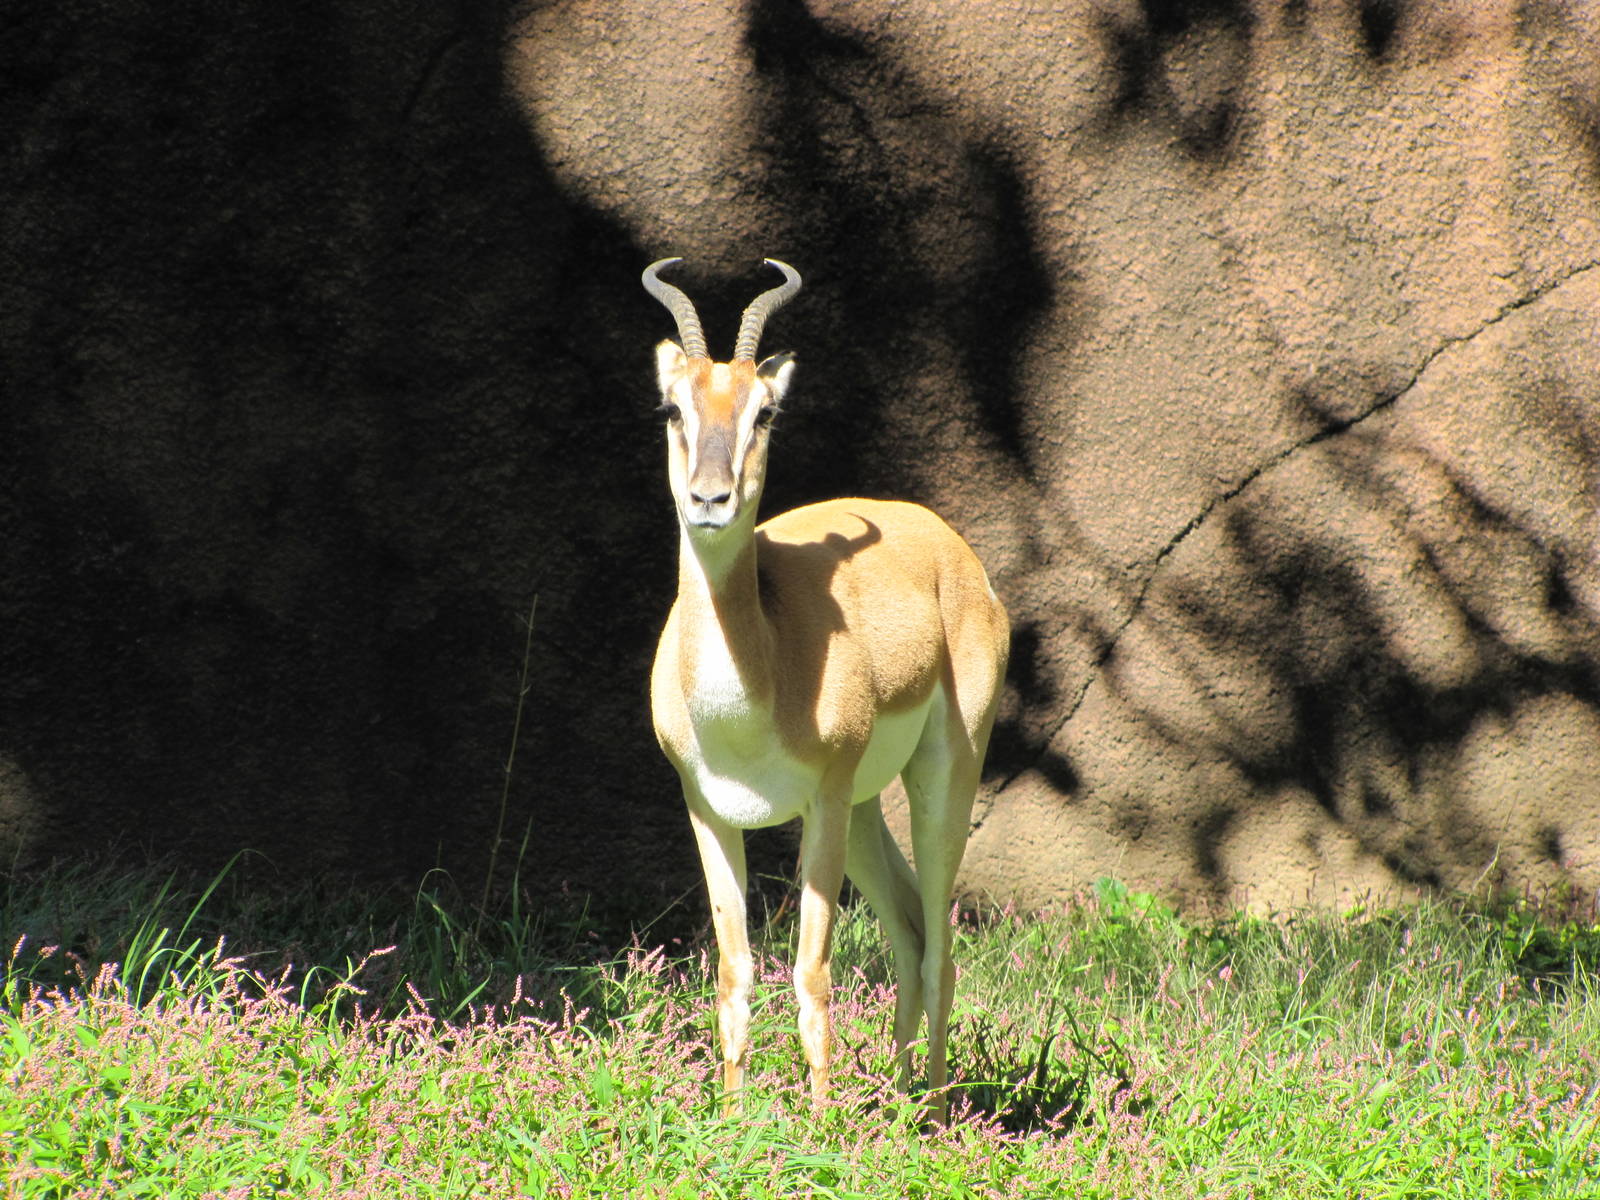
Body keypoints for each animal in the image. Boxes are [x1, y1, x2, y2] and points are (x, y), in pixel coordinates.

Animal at [643, 257, 1010, 1119]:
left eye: (764, 413)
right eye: (673, 407)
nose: (710, 499)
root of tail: (949, 546)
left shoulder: (821, 802)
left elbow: (811, 973)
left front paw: (817, 1125)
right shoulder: (709, 811)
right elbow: (735, 971)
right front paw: (734, 1120)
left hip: (937, 781)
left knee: (940, 943)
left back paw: (934, 1111)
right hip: (868, 811)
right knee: (910, 929)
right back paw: (900, 1100)